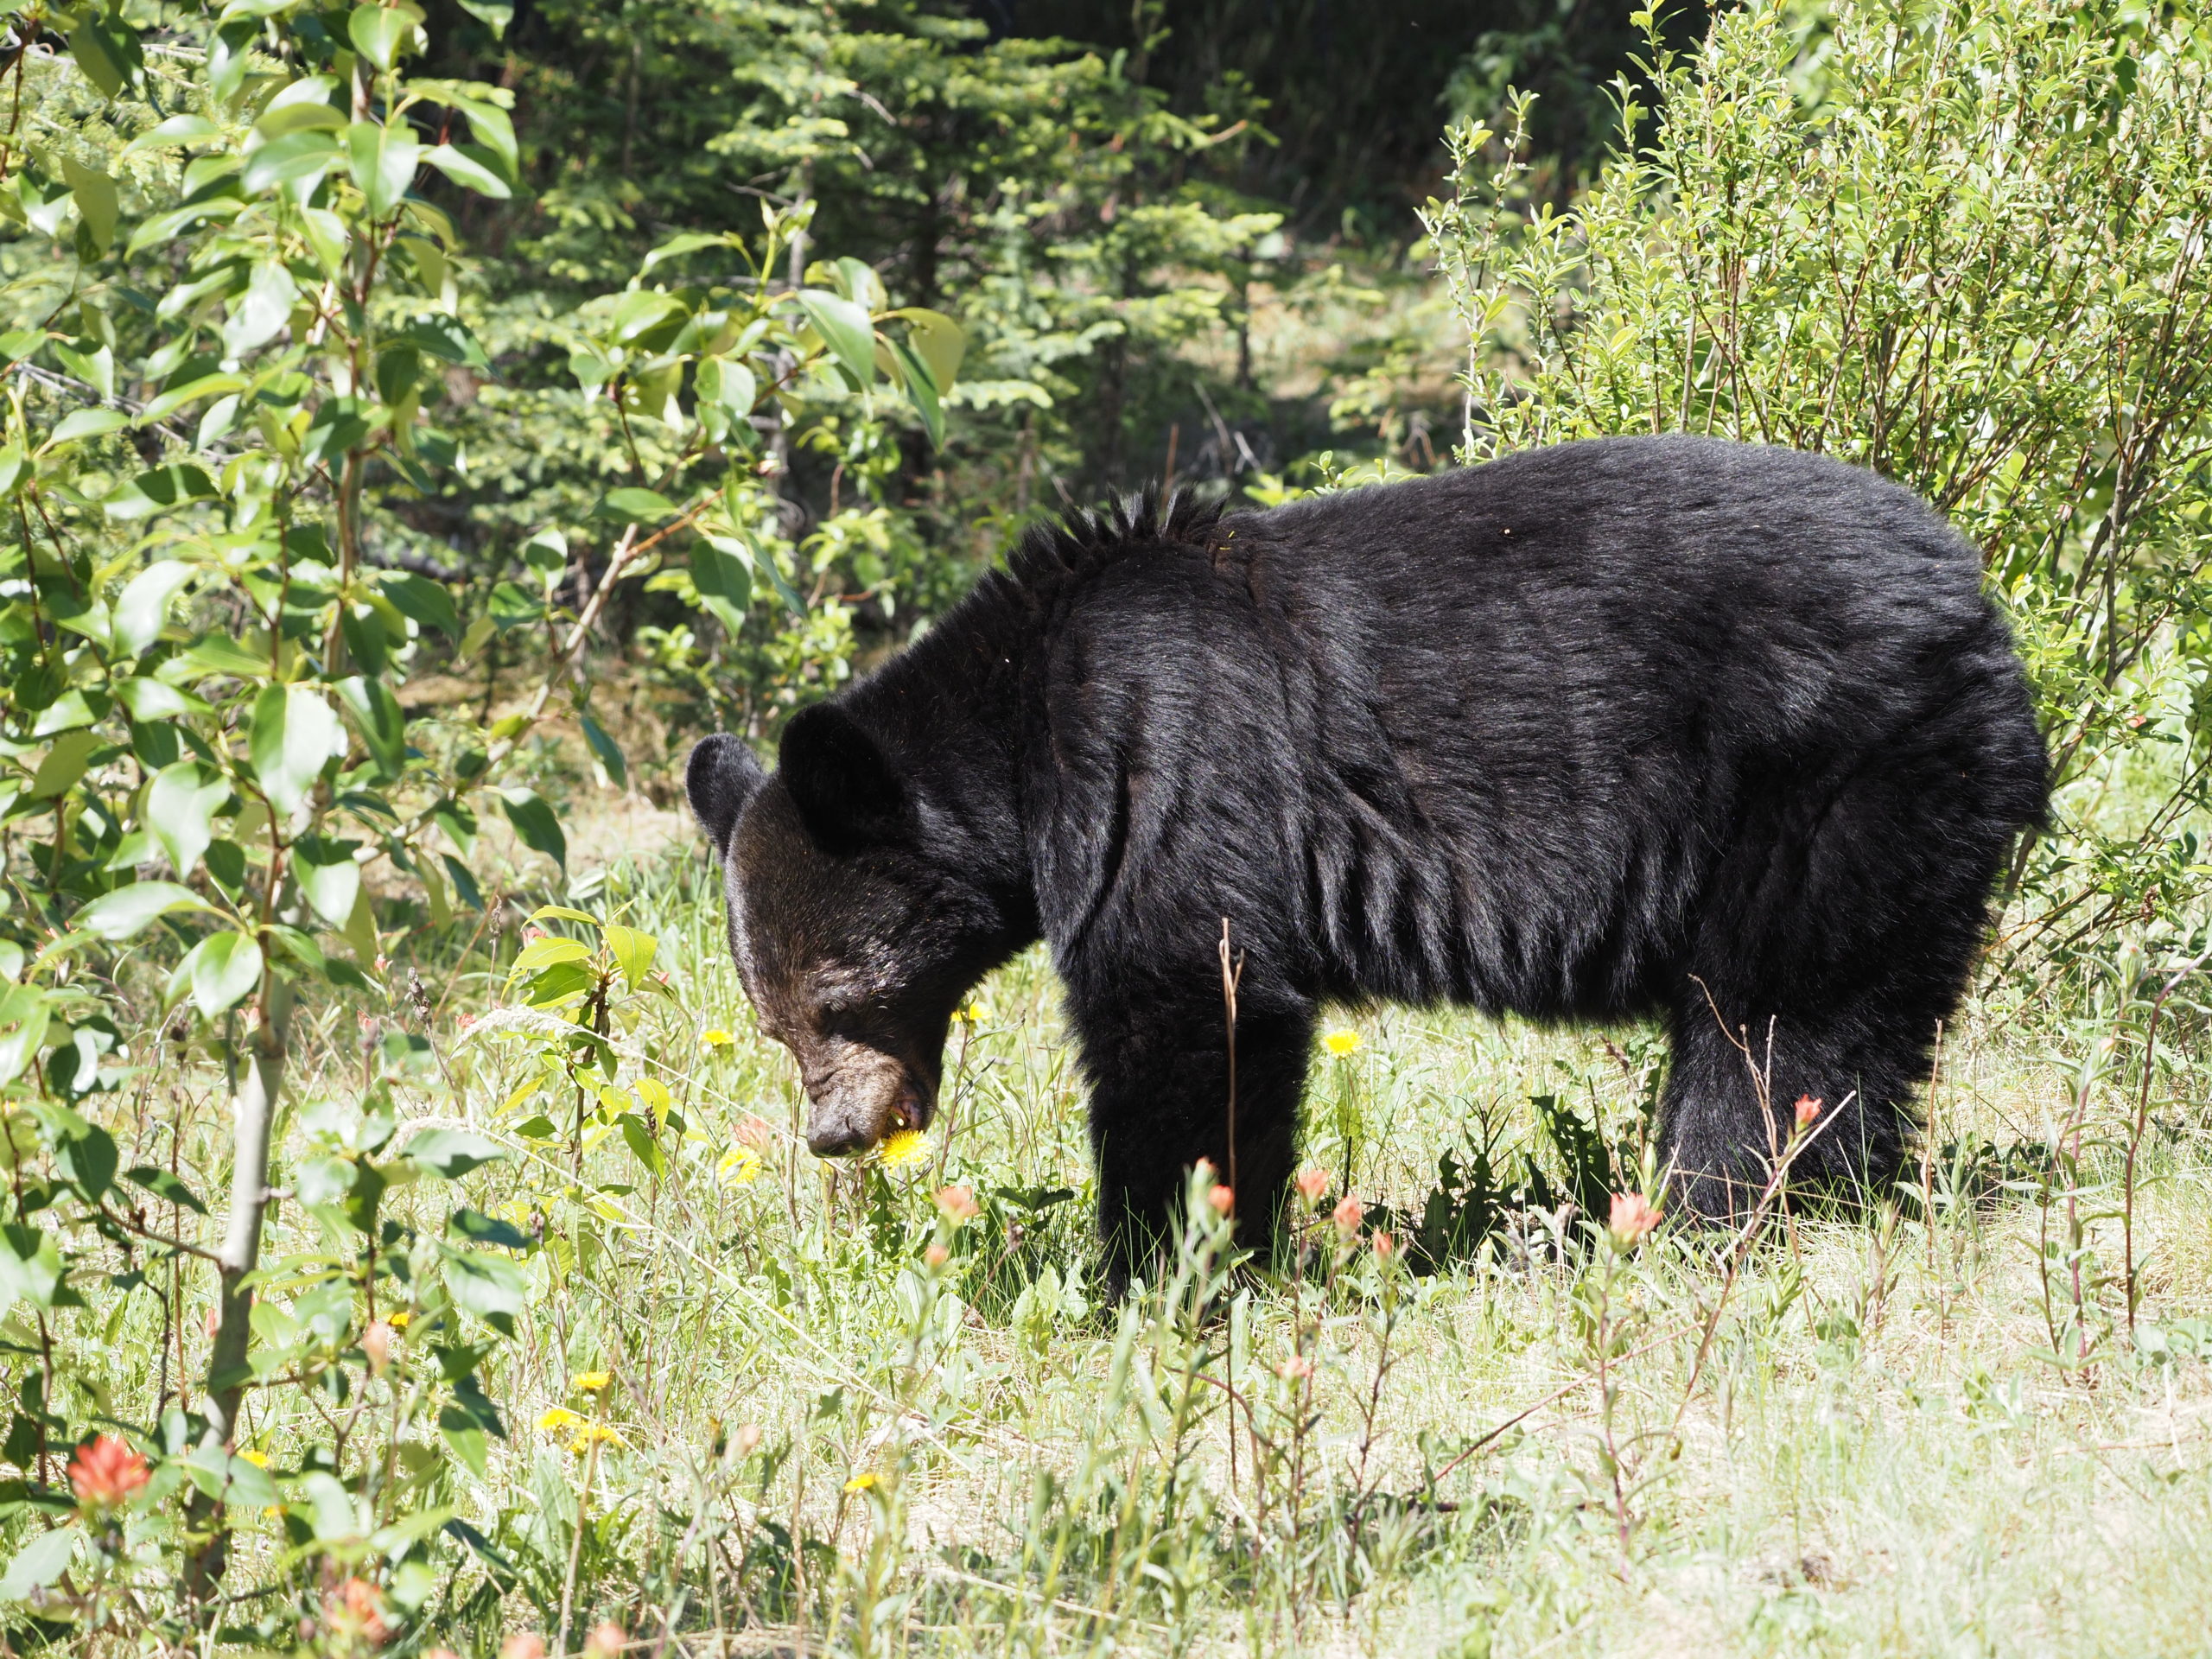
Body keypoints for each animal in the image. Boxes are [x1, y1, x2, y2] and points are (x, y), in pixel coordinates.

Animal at [681, 437, 2044, 1274]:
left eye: (837, 998)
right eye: (771, 1020)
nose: (837, 1134)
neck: (1018, 727)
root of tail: (1981, 606)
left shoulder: (1155, 756)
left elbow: (1189, 1002)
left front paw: (1156, 1260)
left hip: (1828, 779)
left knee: (1775, 1023)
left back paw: (1712, 1211)